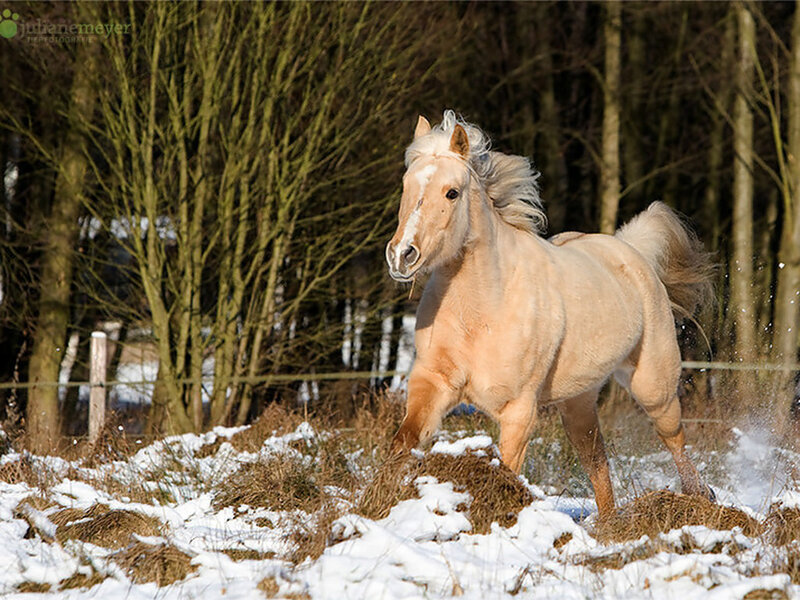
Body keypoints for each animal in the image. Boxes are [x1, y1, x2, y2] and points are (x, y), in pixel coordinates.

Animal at [385, 110, 715, 520]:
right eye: (406, 185)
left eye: (452, 192)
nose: (402, 256)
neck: (482, 310)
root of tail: (631, 252)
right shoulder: (432, 384)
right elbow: (404, 442)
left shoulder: (518, 411)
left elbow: (505, 470)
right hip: (578, 402)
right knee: (596, 461)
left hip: (654, 387)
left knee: (673, 439)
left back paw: (700, 498)